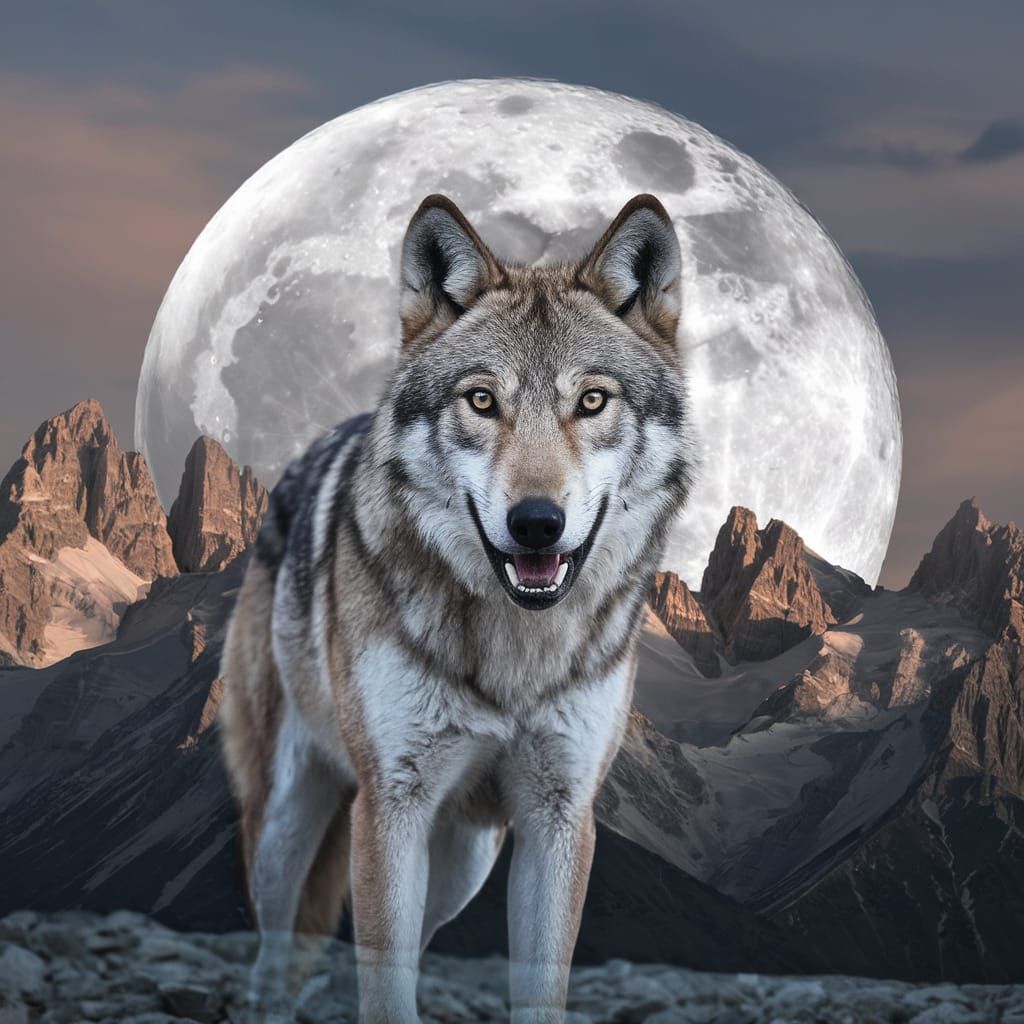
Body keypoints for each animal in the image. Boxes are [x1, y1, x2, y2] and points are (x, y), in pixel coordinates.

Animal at [219, 191, 694, 1023]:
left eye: (591, 401)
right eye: (481, 400)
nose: (536, 522)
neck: (516, 653)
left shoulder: (557, 818)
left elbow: (538, 991)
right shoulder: (391, 805)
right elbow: (385, 990)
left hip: (464, 859)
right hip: (287, 823)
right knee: (276, 952)